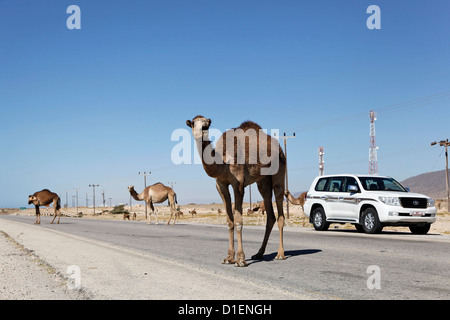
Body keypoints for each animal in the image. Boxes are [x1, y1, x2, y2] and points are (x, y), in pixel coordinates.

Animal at [187, 114, 288, 266]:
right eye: (193, 123)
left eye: (207, 124)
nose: (202, 129)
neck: (224, 163)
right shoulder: (220, 185)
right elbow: (229, 221)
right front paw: (229, 257)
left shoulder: (238, 183)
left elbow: (239, 221)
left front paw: (240, 259)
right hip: (263, 180)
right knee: (269, 212)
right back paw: (259, 253)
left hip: (279, 170)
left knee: (279, 201)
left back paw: (280, 254)